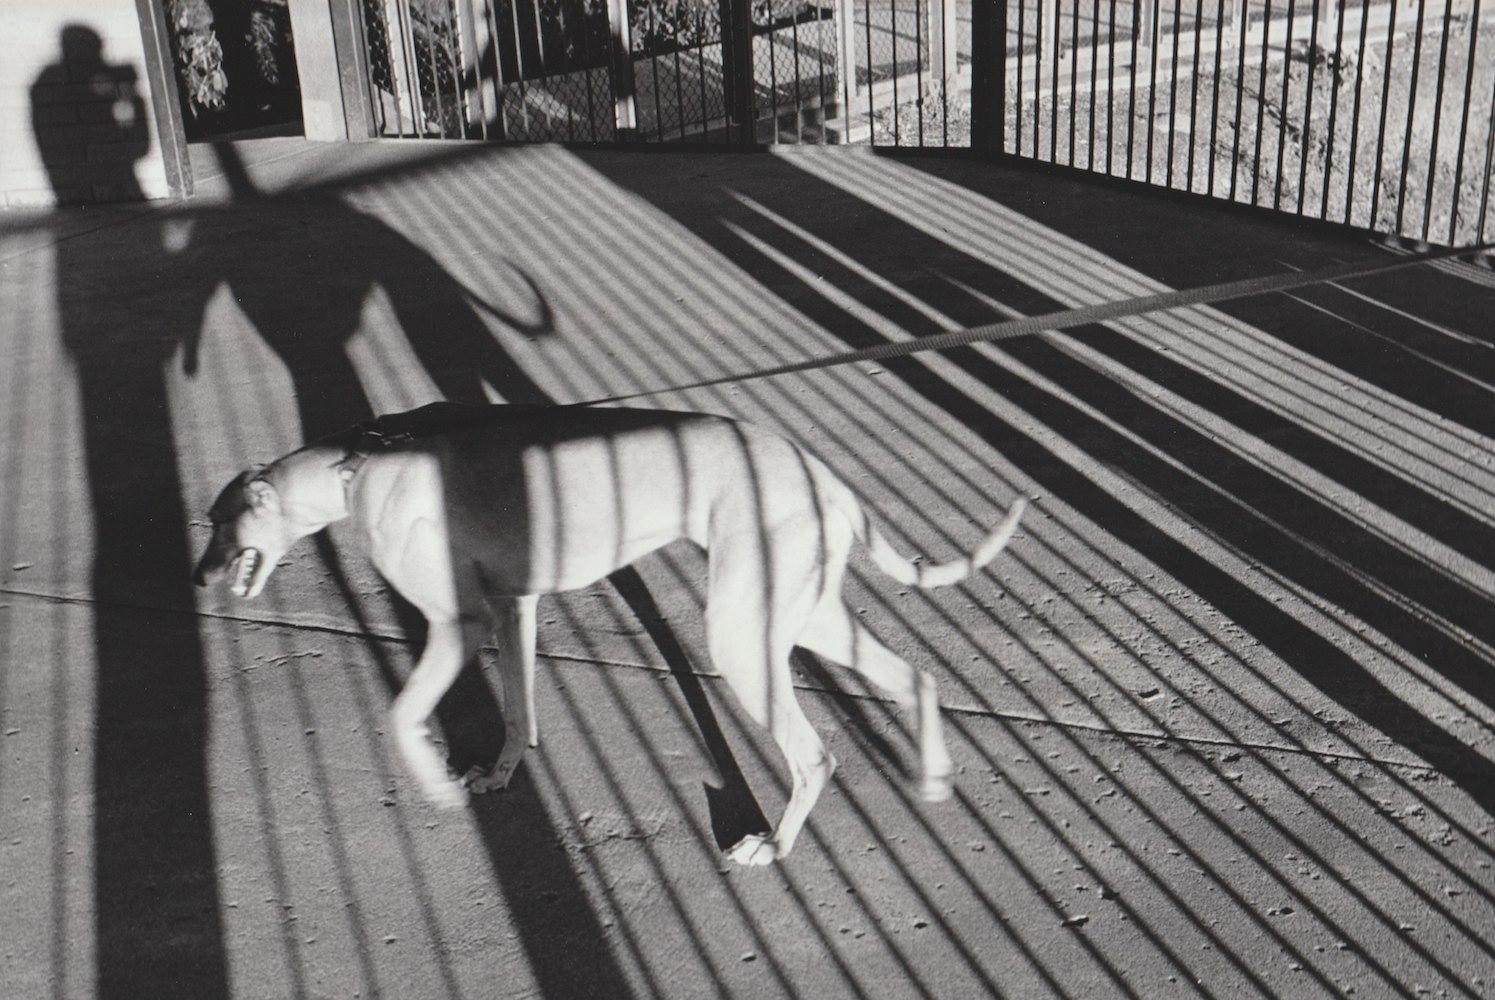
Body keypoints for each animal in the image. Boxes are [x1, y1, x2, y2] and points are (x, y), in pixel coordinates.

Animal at [192, 400, 1022, 860]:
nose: (198, 579)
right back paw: (932, 776)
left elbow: (400, 716)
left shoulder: (457, 622)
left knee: (814, 756)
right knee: (914, 676)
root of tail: (816, 470)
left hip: (740, 636)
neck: (356, 469)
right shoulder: (513, 608)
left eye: (218, 522)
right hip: (801, 612)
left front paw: (435, 786)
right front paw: (498, 773)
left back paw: (774, 846)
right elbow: (519, 709)